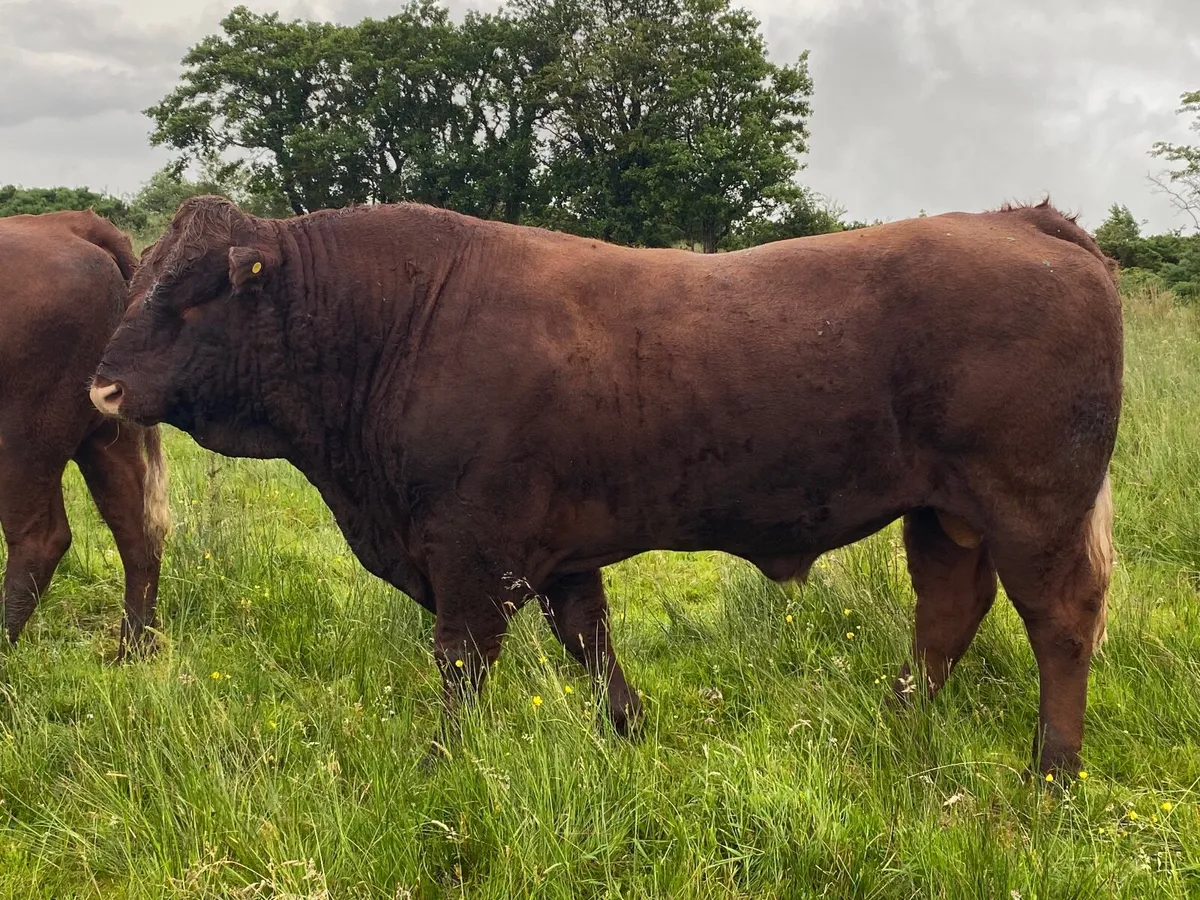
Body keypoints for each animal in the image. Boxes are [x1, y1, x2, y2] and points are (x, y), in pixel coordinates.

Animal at [1, 209, 170, 657]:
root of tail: (70, 224)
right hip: (106, 431)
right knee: (138, 530)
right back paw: (130, 650)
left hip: (23, 441)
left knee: (40, 538)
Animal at [90, 195, 1122, 777]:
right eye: (137, 280)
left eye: (194, 294)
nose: (101, 388)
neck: (394, 319)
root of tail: (1020, 221)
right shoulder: (556, 555)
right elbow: (590, 642)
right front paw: (631, 732)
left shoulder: (473, 557)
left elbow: (461, 667)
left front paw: (438, 768)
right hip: (944, 516)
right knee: (948, 612)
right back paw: (901, 722)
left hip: (1034, 512)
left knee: (1061, 622)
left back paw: (1052, 770)